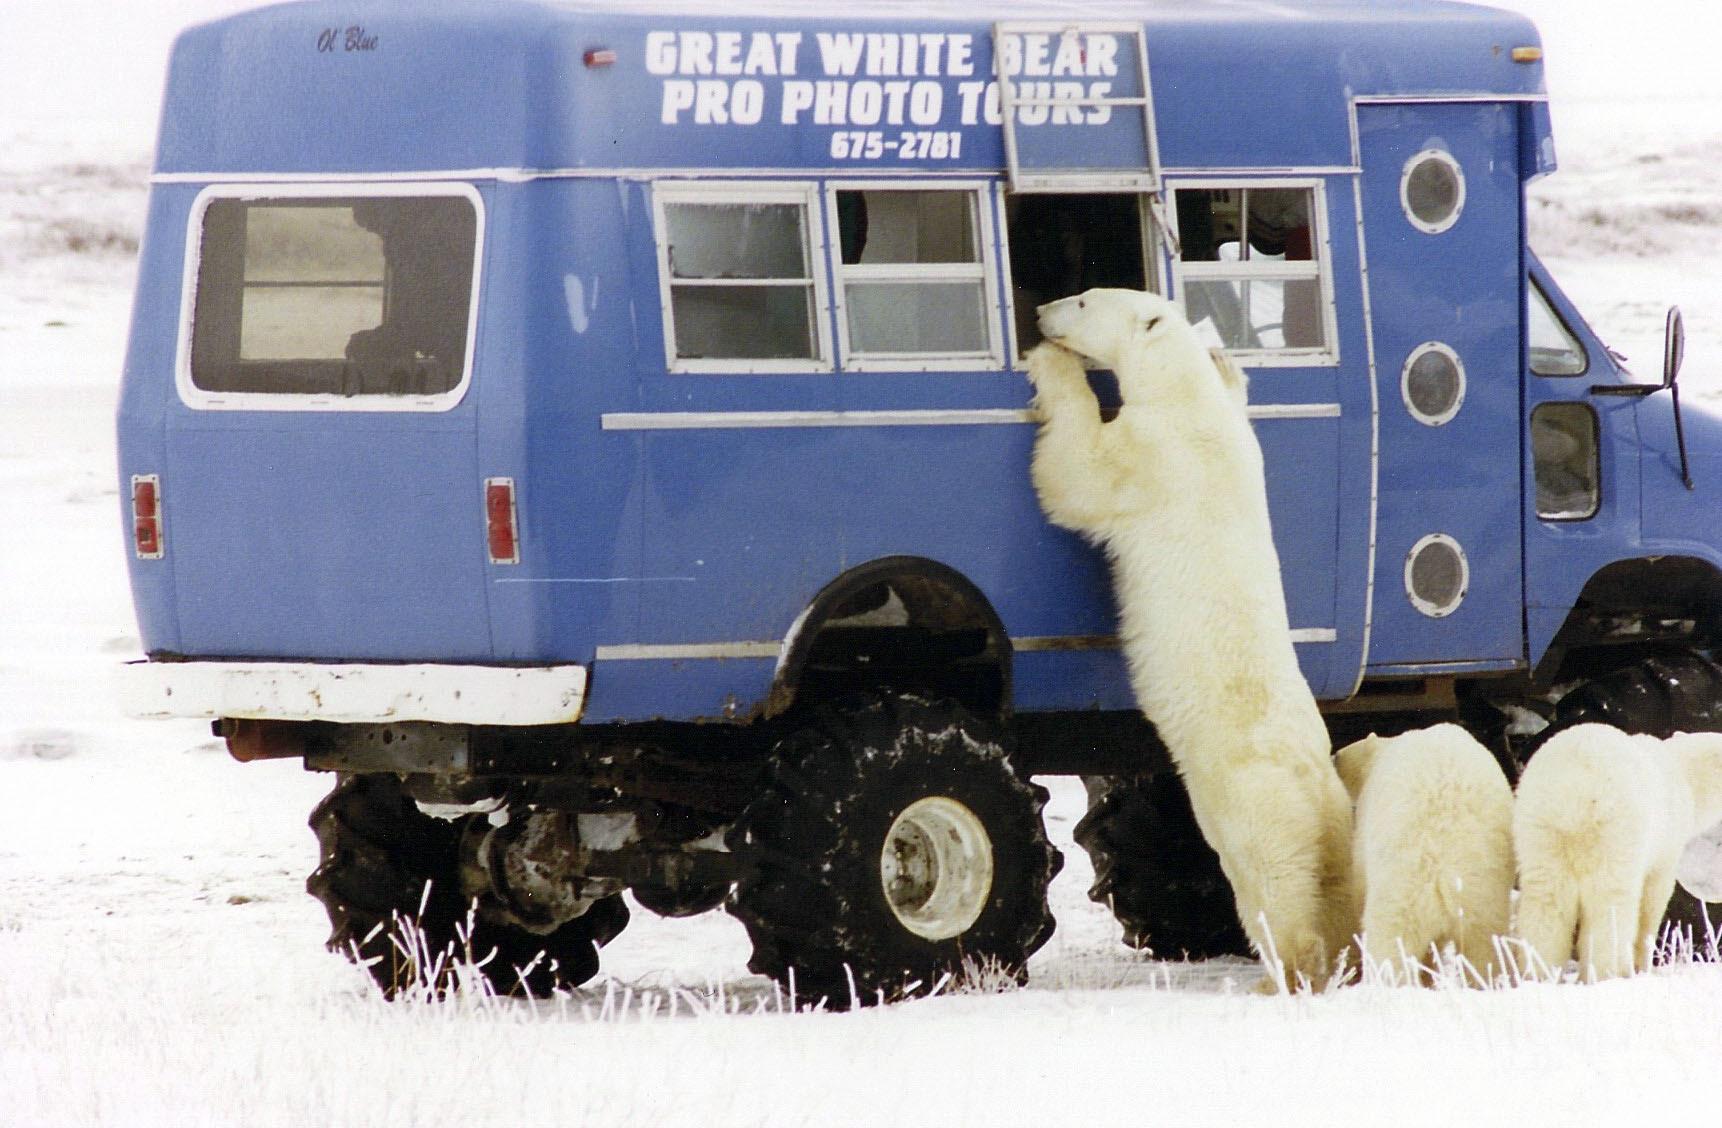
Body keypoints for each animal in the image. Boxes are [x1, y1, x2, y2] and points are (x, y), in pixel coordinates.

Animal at [1027, 287, 1355, 989]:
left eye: (1084, 299)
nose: (1040, 311)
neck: (1184, 397)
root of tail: (1317, 789)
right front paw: (1229, 363)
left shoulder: (1152, 457)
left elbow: (1080, 472)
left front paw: (1049, 365)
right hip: (1331, 821)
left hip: (1257, 807)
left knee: (1274, 886)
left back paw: (1280, 972)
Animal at [1333, 724, 1514, 984]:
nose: (1334, 756)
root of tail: (1441, 870)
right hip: (1483, 896)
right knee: (1484, 950)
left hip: (1401, 889)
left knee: (1390, 948)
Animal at [1513, 723, 1722, 982]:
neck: (1685, 774)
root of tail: (1574, 792)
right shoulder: (1666, 843)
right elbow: (1653, 899)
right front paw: (1644, 966)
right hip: (1614, 828)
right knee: (1610, 902)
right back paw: (1608, 972)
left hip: (1540, 829)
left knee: (1545, 900)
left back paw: (1539, 974)